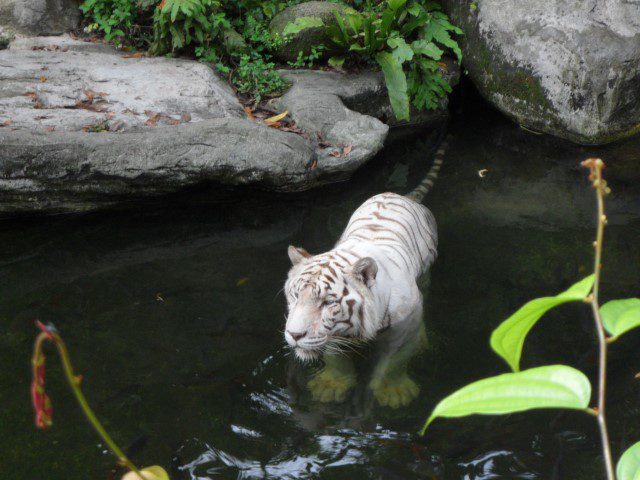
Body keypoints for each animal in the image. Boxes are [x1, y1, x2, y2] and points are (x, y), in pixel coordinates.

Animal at [284, 137, 450, 406]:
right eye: (296, 296)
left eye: (328, 302)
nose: (294, 334)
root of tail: (403, 195)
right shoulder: (332, 335)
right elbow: (335, 358)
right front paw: (330, 386)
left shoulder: (404, 329)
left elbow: (395, 362)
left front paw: (395, 392)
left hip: (427, 268)